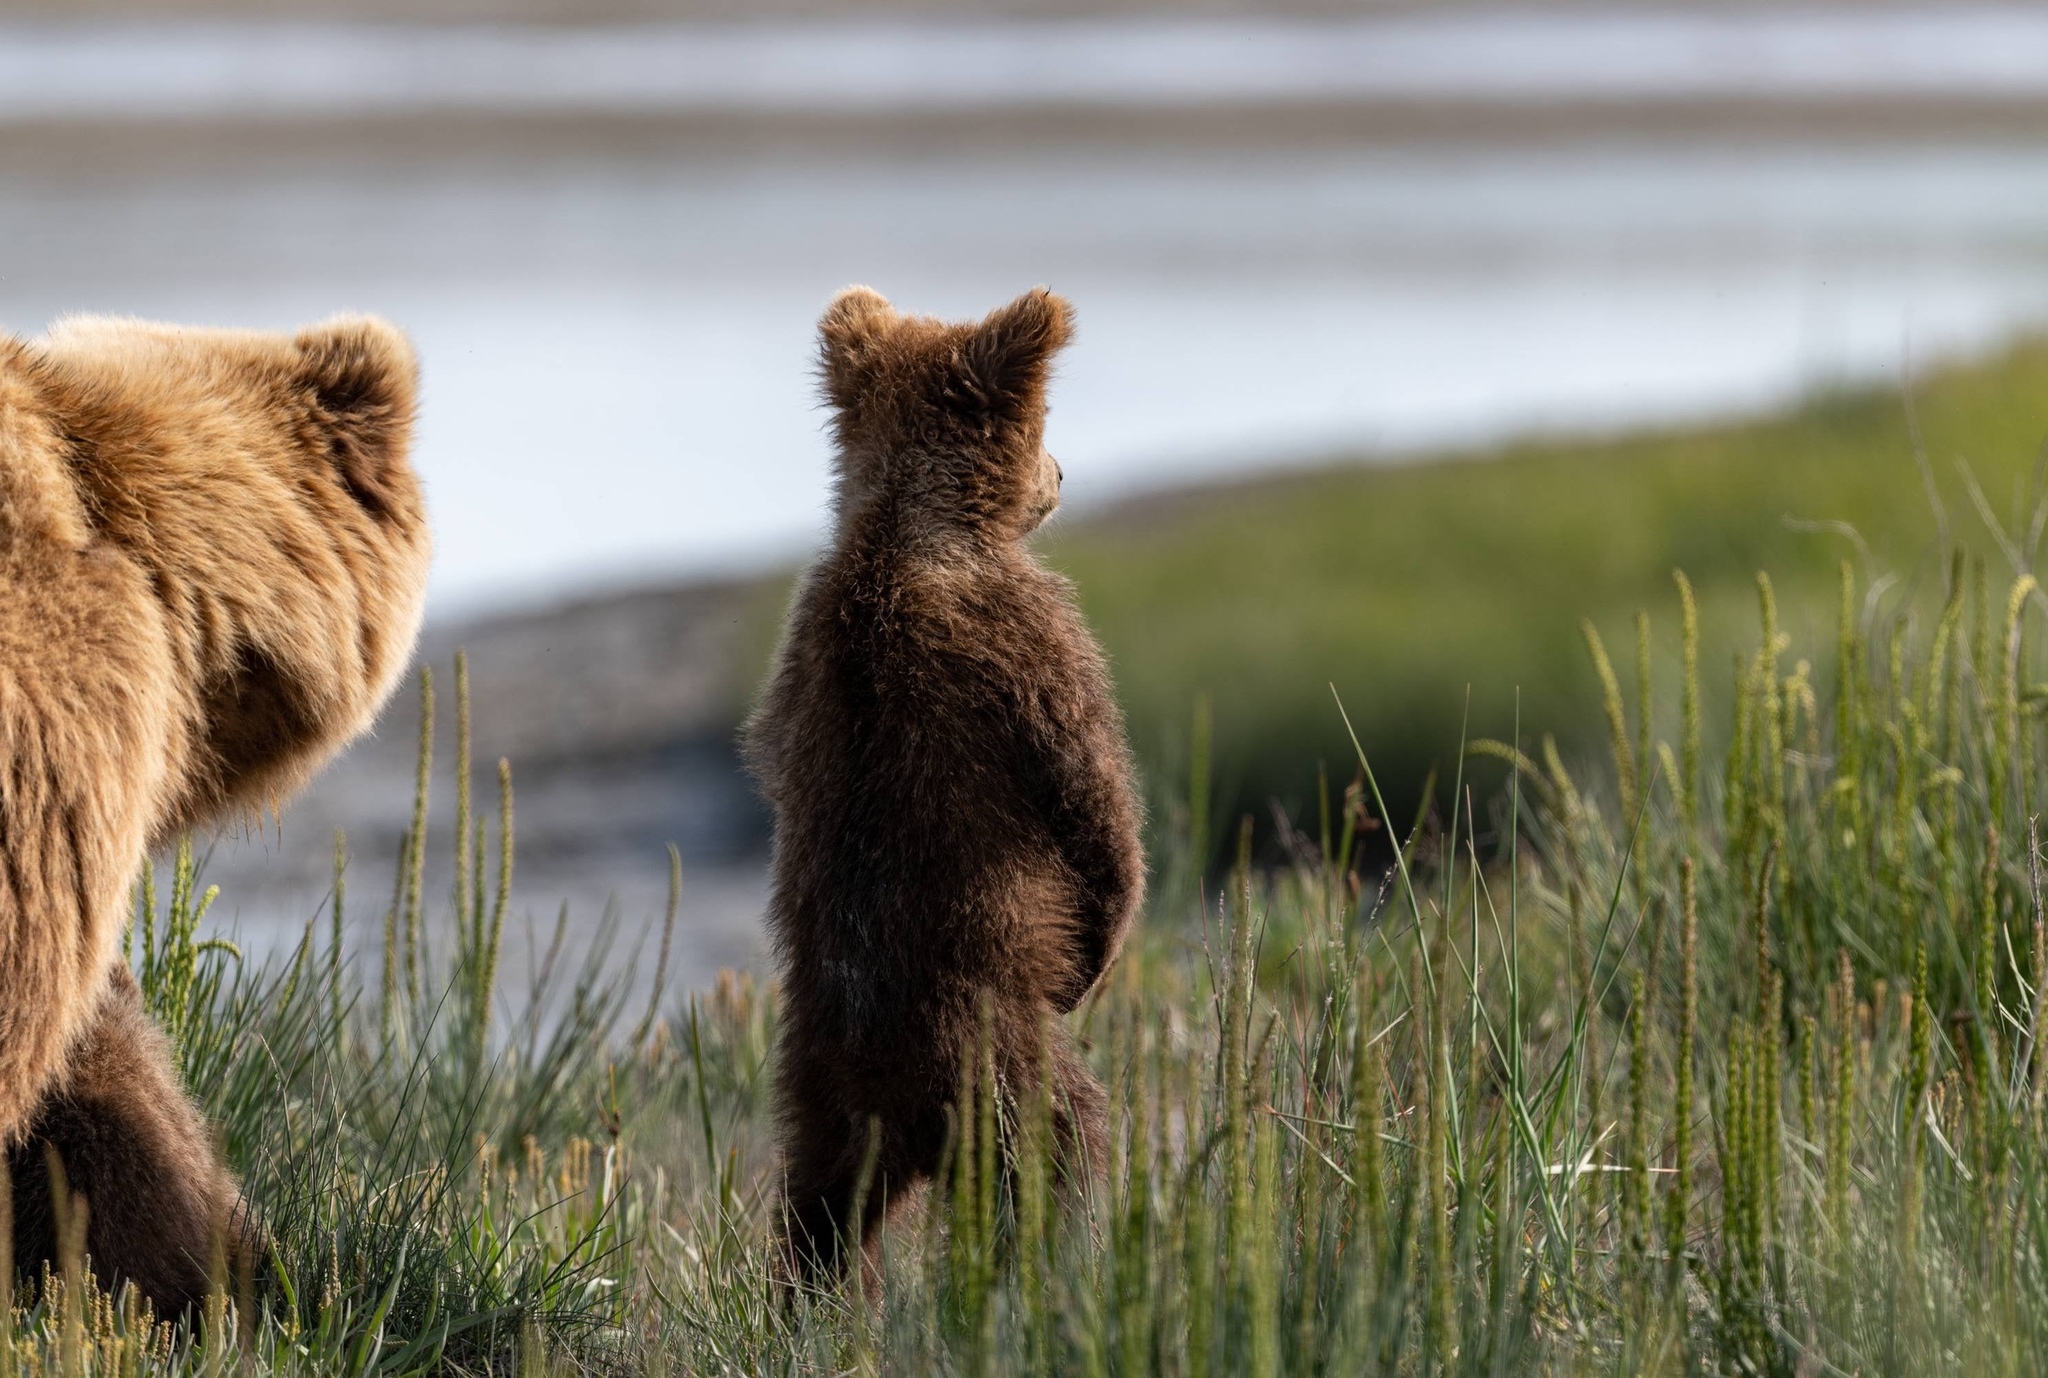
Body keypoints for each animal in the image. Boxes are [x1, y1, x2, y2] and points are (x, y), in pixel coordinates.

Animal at [745, 284, 1146, 1285]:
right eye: (1044, 417)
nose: (1063, 473)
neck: (908, 523)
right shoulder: (1032, 635)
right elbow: (1094, 798)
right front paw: (1101, 947)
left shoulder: (796, 651)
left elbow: (768, 754)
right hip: (991, 1045)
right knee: (1062, 1141)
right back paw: (1050, 1268)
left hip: (810, 1084)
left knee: (815, 1209)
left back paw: (807, 1292)